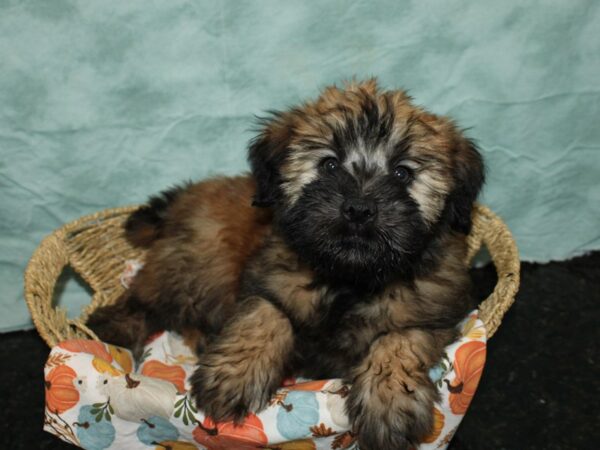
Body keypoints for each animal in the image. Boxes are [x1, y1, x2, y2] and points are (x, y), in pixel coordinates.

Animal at [88, 79, 482, 448]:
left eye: (402, 173)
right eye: (329, 164)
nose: (358, 209)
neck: (347, 280)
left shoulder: (430, 312)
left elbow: (398, 341)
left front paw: (389, 403)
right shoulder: (267, 281)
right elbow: (266, 316)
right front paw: (235, 375)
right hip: (194, 265)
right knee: (147, 295)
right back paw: (114, 324)